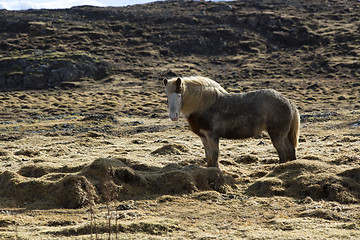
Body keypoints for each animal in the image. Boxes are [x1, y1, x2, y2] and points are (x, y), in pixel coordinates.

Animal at [162, 76, 298, 168]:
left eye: (179, 94)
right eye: (167, 96)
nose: (173, 116)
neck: (202, 106)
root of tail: (289, 103)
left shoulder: (212, 135)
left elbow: (214, 155)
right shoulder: (203, 136)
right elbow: (208, 156)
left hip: (277, 136)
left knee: (283, 153)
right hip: (284, 135)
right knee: (290, 150)